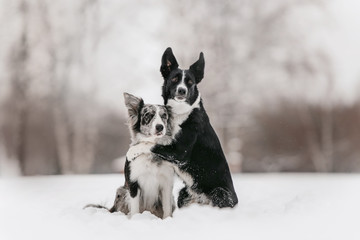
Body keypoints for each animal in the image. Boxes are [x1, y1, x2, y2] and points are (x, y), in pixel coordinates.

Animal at [151, 47, 236, 208]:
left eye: (190, 82)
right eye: (174, 79)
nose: (182, 90)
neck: (181, 112)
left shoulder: (179, 152)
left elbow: (152, 147)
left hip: (220, 192)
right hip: (183, 194)